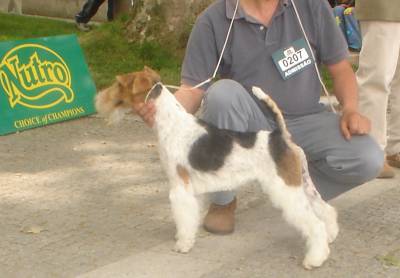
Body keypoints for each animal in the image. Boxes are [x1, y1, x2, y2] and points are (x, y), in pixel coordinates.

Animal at [95, 67, 340, 270]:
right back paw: (331, 236)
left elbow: (183, 217)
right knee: (325, 210)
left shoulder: (179, 186)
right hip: (302, 184)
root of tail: (280, 136)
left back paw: (314, 259)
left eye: (119, 83)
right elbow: (190, 217)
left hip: (286, 188)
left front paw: (182, 245)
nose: (98, 99)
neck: (171, 124)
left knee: (314, 223)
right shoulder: (190, 189)